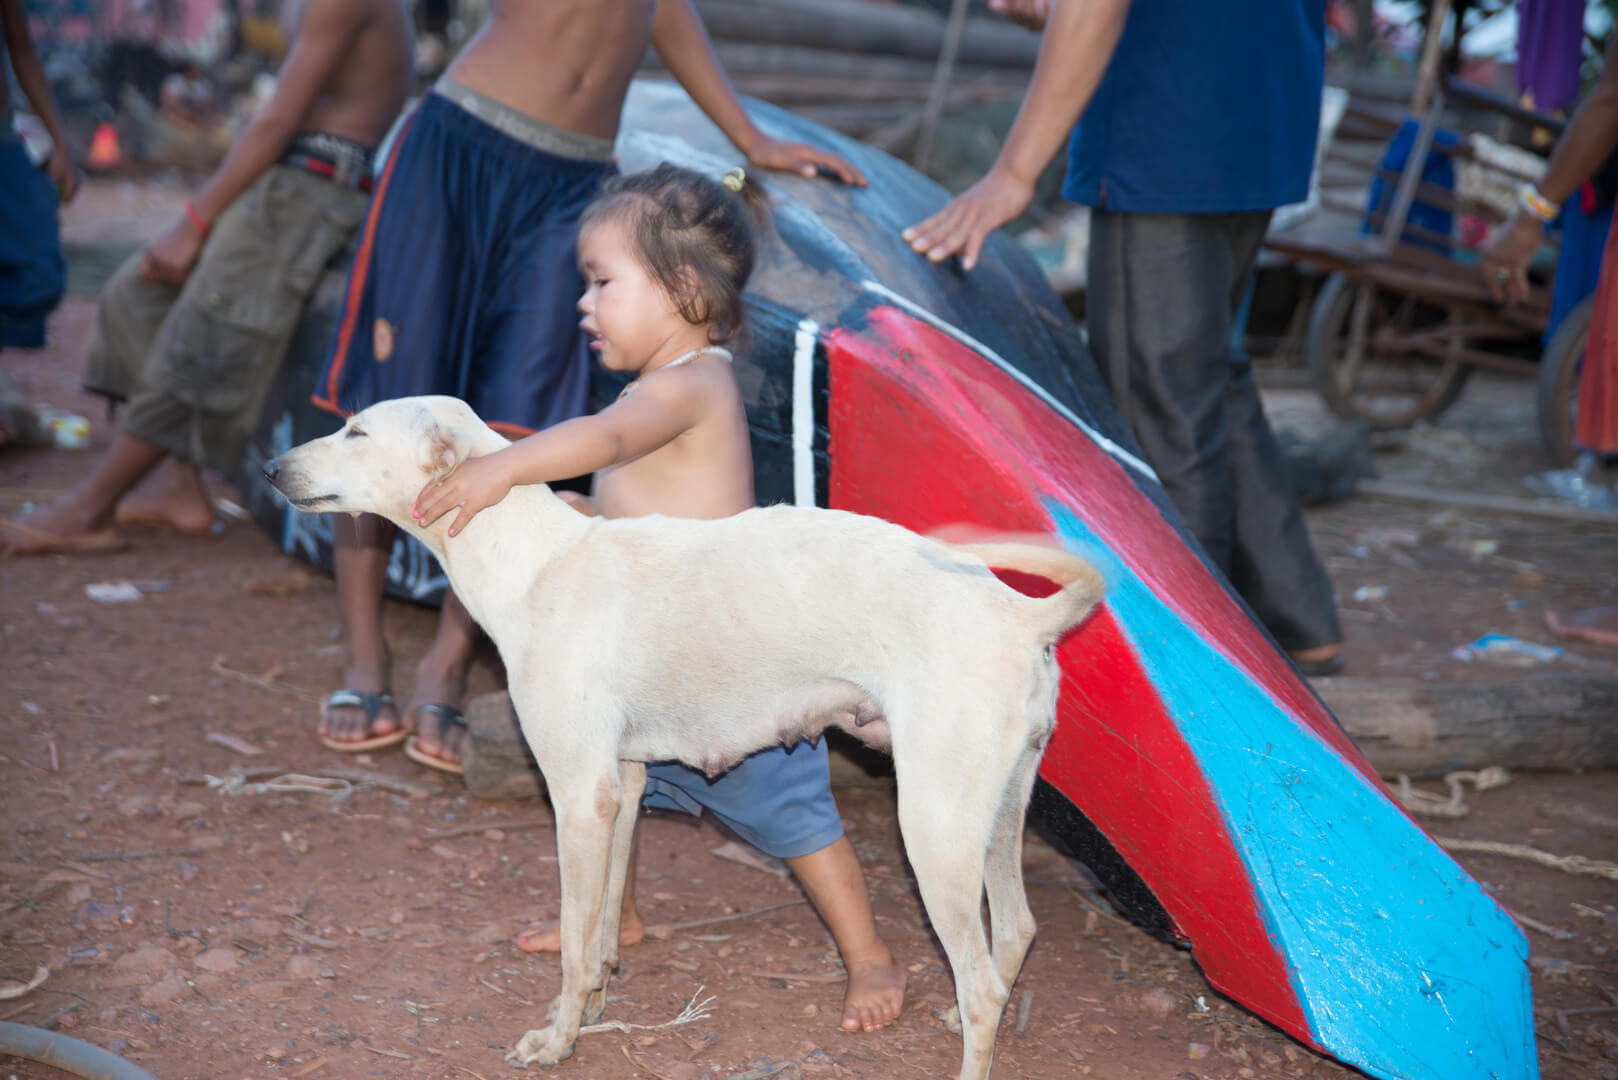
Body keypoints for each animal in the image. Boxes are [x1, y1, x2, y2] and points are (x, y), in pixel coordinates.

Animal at [268, 396, 1100, 1080]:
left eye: (356, 430)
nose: (271, 466)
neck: (533, 559)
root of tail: (1022, 615)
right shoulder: (622, 789)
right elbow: (601, 933)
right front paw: (588, 1014)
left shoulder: (579, 797)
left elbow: (575, 944)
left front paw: (556, 1042)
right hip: (993, 817)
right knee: (1014, 933)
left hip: (933, 828)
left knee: (985, 981)